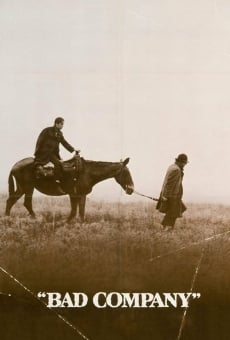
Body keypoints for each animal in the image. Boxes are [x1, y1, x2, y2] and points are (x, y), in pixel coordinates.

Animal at [5, 156, 134, 222]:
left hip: (23, 188)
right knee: (26, 203)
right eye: (126, 173)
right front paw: (67, 222)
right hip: (28, 187)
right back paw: (35, 219)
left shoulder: (82, 195)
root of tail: (15, 165)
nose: (131, 189)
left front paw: (81, 224)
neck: (86, 172)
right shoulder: (73, 194)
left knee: (11, 201)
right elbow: (74, 211)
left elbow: (81, 211)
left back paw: (8, 218)